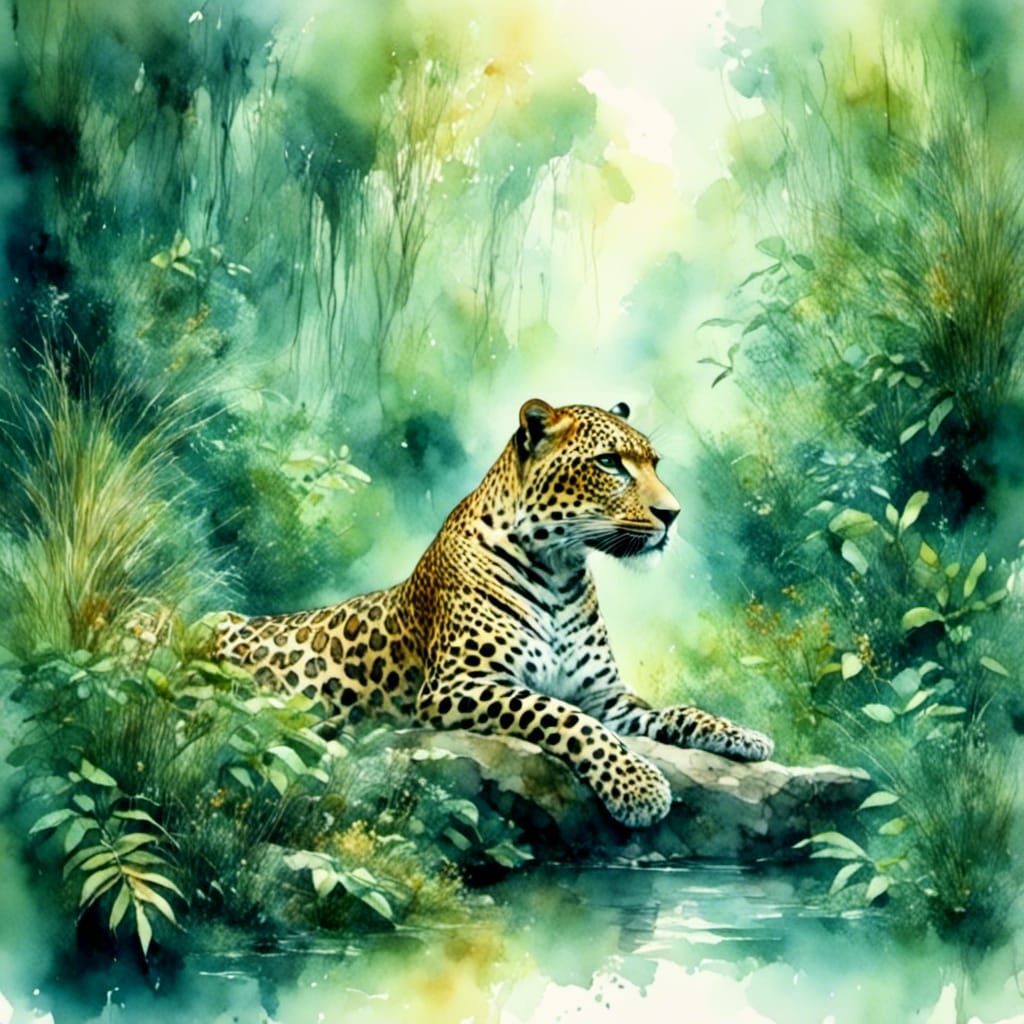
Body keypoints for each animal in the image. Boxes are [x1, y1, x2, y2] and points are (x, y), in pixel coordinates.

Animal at [215, 399, 774, 828]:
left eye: (655, 462)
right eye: (610, 463)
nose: (672, 515)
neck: (559, 572)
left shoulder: (606, 697)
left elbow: (677, 711)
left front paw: (744, 736)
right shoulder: (457, 684)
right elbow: (564, 718)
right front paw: (638, 788)